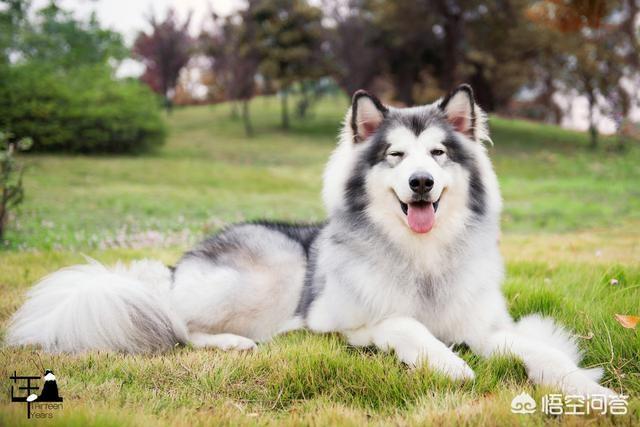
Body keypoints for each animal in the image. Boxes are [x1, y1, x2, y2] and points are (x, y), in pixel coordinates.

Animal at [6, 84, 616, 398]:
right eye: (396, 155)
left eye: (439, 154)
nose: (421, 182)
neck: (421, 259)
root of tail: (176, 267)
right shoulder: (344, 322)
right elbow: (405, 323)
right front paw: (447, 364)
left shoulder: (485, 326)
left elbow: (537, 350)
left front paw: (593, 392)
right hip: (271, 271)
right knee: (174, 324)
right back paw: (232, 342)